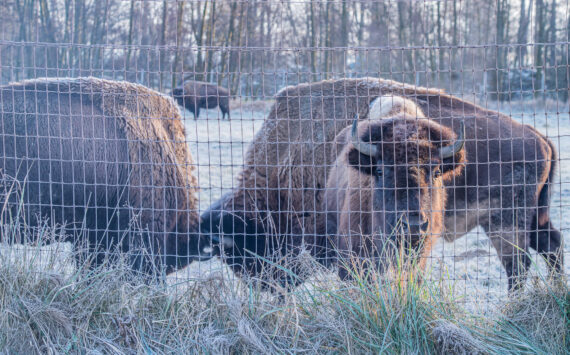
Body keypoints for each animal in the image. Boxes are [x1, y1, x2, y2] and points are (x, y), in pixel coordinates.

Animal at [201, 78, 560, 292]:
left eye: (244, 248)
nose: (267, 286)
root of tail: (537, 136)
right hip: (531, 217)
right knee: (550, 245)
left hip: (506, 222)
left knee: (518, 265)